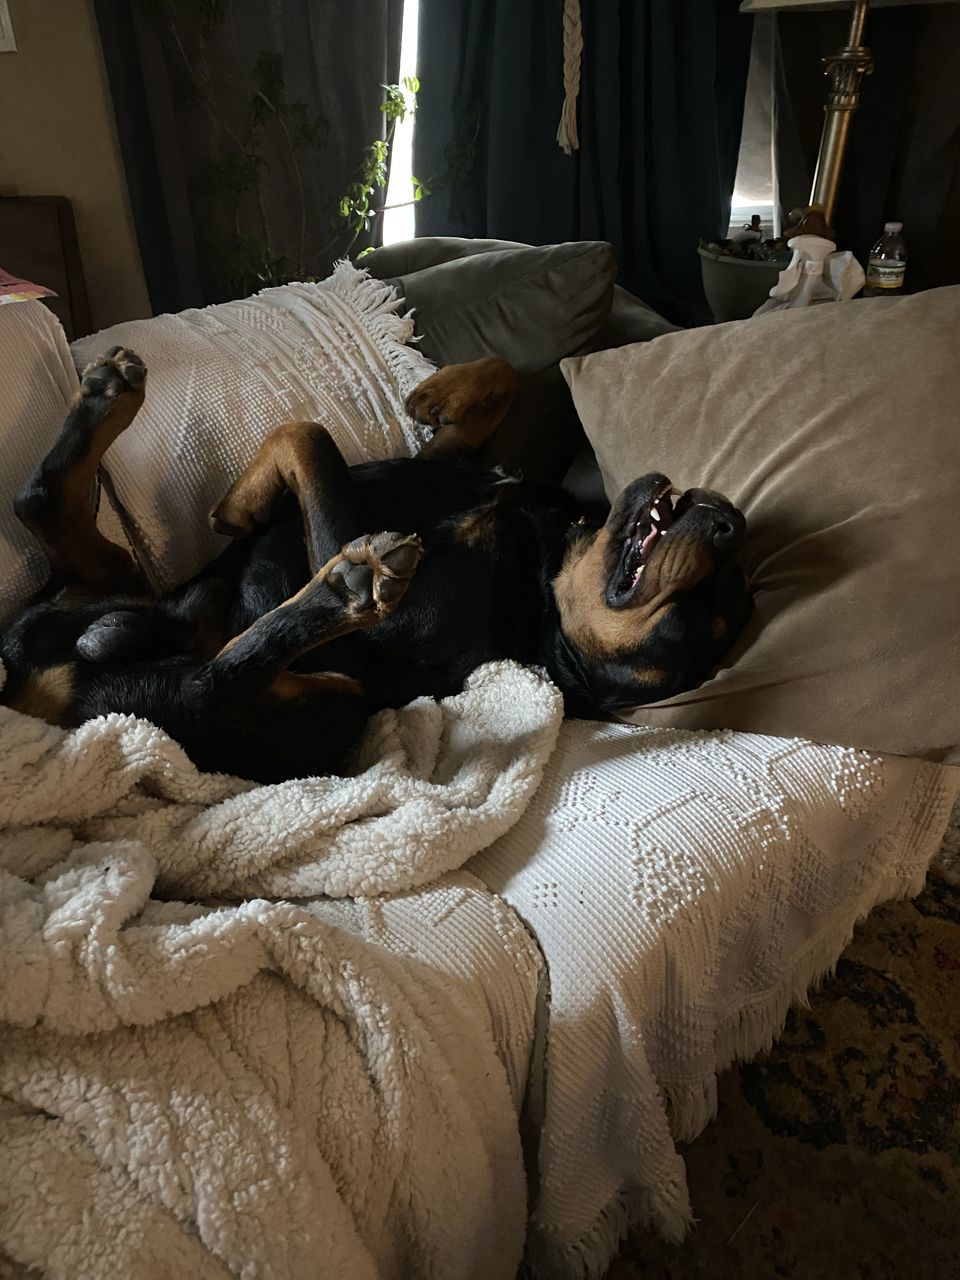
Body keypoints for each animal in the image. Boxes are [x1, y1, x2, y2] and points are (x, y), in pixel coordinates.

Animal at [0, 345, 757, 778]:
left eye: (698, 623)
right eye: (717, 603)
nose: (731, 524)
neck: (546, 562)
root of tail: (35, 694)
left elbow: (315, 442)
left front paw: (253, 507)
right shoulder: (442, 468)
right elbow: (480, 387)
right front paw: (436, 393)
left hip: (321, 706)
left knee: (207, 685)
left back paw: (345, 590)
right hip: (109, 585)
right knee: (39, 503)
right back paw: (103, 395)